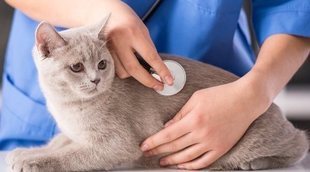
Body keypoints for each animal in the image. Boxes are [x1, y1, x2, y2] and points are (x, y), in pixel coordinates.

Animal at [5, 16, 310, 172]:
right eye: (77, 67)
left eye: (102, 64)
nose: (96, 79)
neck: (67, 106)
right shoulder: (72, 133)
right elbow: (58, 143)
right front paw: (23, 152)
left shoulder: (116, 144)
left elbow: (70, 156)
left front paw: (32, 161)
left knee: (300, 143)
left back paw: (253, 163)